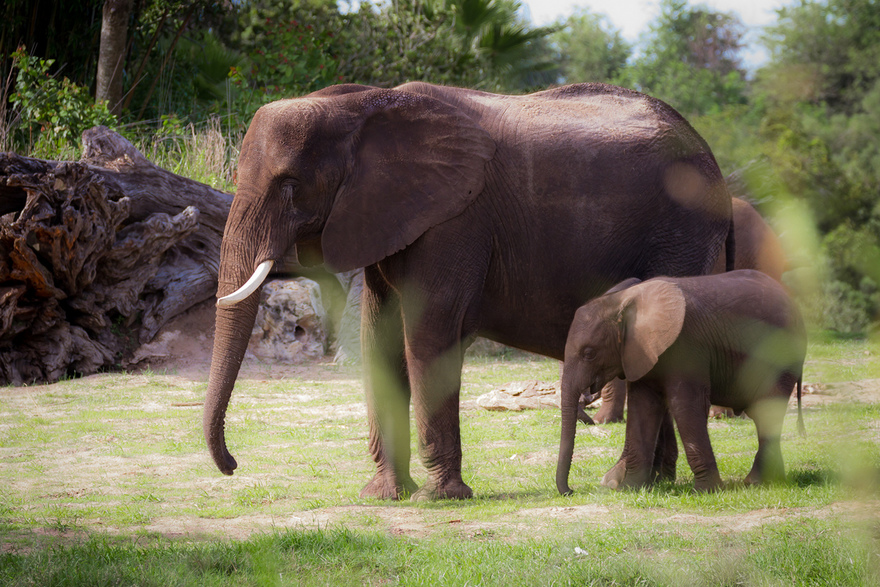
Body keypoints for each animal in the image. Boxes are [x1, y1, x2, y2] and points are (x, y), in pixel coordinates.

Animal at [203, 80, 732, 500]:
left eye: (291, 185)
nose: (232, 466)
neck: (361, 103)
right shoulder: (386, 218)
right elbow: (380, 340)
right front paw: (384, 496)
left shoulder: (454, 221)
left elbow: (428, 336)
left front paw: (437, 498)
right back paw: (654, 483)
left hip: (681, 235)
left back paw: (625, 482)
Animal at [556, 272, 804, 496]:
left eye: (589, 353)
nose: (570, 491)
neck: (624, 302)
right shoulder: (639, 353)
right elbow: (643, 408)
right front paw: (629, 489)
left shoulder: (687, 346)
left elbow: (685, 406)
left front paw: (705, 492)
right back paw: (771, 481)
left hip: (782, 354)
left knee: (767, 410)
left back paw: (757, 482)